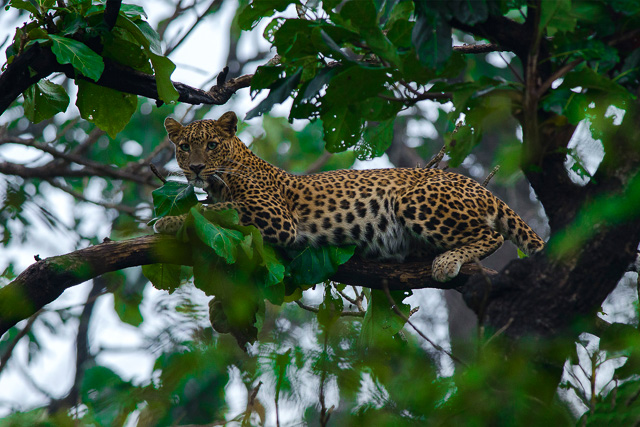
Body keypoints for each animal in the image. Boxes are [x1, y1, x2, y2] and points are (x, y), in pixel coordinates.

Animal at [155, 112, 544, 282]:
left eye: (212, 145)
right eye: (184, 147)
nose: (196, 168)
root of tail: (475, 184)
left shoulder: (276, 218)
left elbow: (214, 211)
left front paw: (169, 220)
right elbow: (212, 207)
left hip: (413, 200)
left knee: (491, 235)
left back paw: (447, 262)